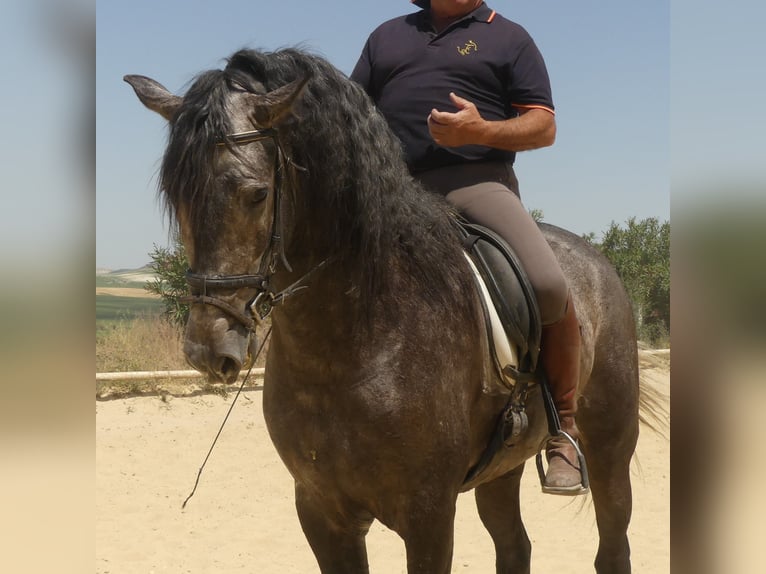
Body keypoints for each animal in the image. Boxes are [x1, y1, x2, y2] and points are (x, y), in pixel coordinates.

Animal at [125, 47, 640, 574]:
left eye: (257, 194)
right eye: (175, 196)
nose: (209, 351)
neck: (349, 346)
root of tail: (595, 259)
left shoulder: (429, 514)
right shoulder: (321, 510)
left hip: (610, 448)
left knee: (612, 545)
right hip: (502, 467)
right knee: (515, 545)